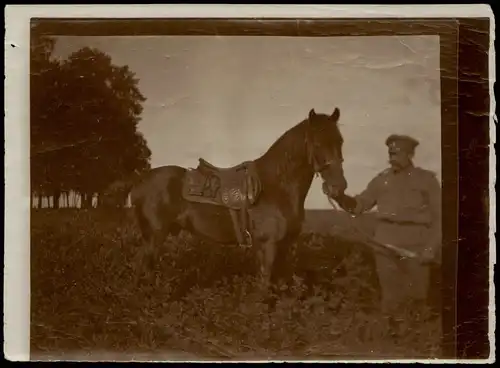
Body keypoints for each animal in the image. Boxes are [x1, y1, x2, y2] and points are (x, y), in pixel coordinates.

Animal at [102, 108, 348, 288]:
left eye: (340, 142)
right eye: (318, 144)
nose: (339, 187)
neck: (276, 186)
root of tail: (140, 179)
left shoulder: (284, 247)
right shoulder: (268, 245)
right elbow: (265, 286)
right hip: (154, 236)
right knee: (141, 268)